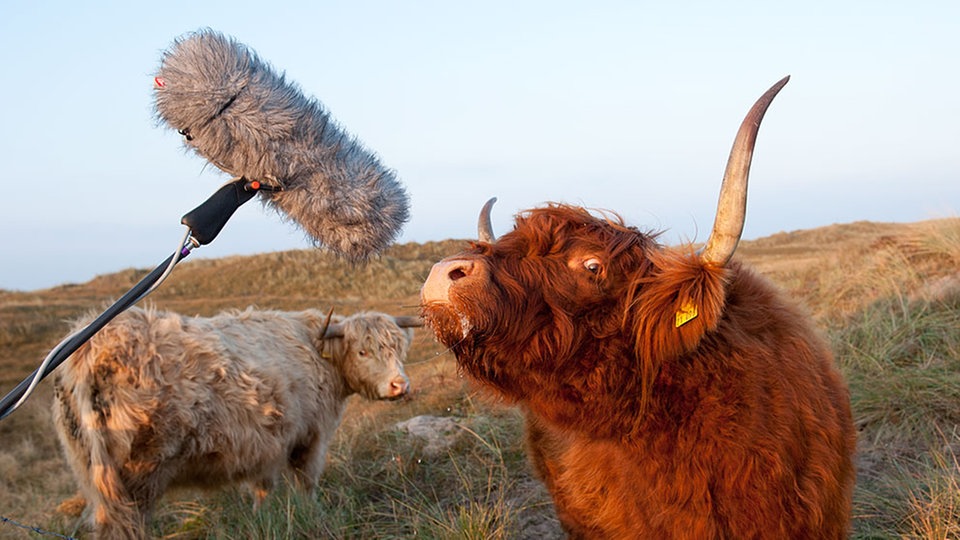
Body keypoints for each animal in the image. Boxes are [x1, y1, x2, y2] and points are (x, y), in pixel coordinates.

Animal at [52, 306, 412, 536]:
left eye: (398, 349)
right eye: (363, 352)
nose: (400, 385)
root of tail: (93, 348)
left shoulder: (266, 445)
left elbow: (263, 488)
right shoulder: (310, 437)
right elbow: (306, 484)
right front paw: (315, 515)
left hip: (93, 472)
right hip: (139, 474)